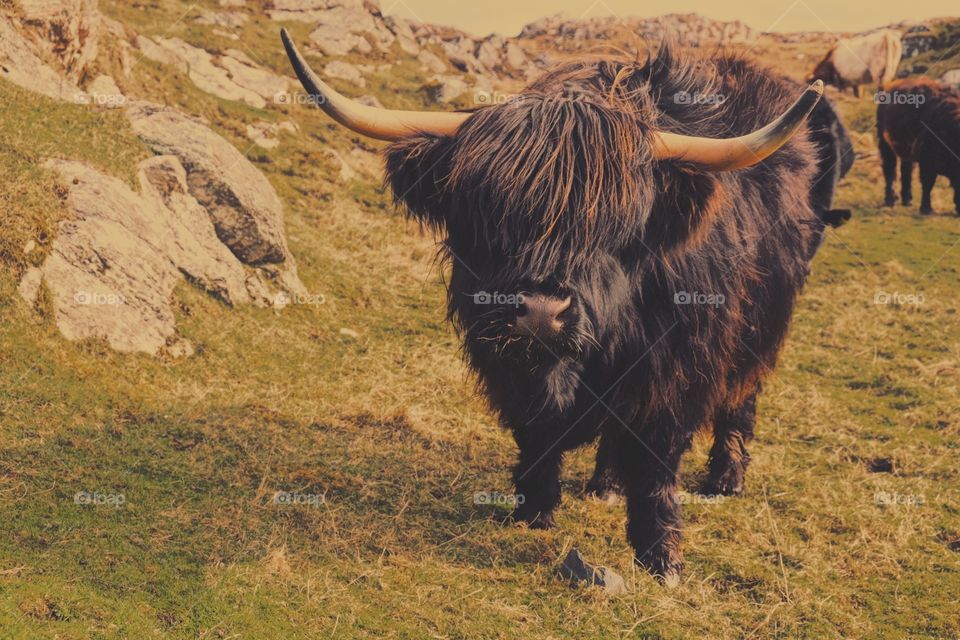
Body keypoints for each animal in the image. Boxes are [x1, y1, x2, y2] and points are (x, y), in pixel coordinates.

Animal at [281, 29, 846, 585]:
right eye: (489, 212)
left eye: (614, 223)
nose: (538, 312)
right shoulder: (504, 361)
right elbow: (536, 434)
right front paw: (533, 511)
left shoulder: (675, 369)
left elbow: (656, 460)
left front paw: (662, 558)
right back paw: (605, 483)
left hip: (763, 328)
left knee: (741, 396)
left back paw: (726, 477)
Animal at [877, 78, 960, 215]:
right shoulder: (926, 161)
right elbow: (927, 183)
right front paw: (926, 208)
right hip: (885, 145)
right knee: (890, 170)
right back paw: (890, 200)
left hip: (906, 153)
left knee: (906, 170)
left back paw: (907, 200)